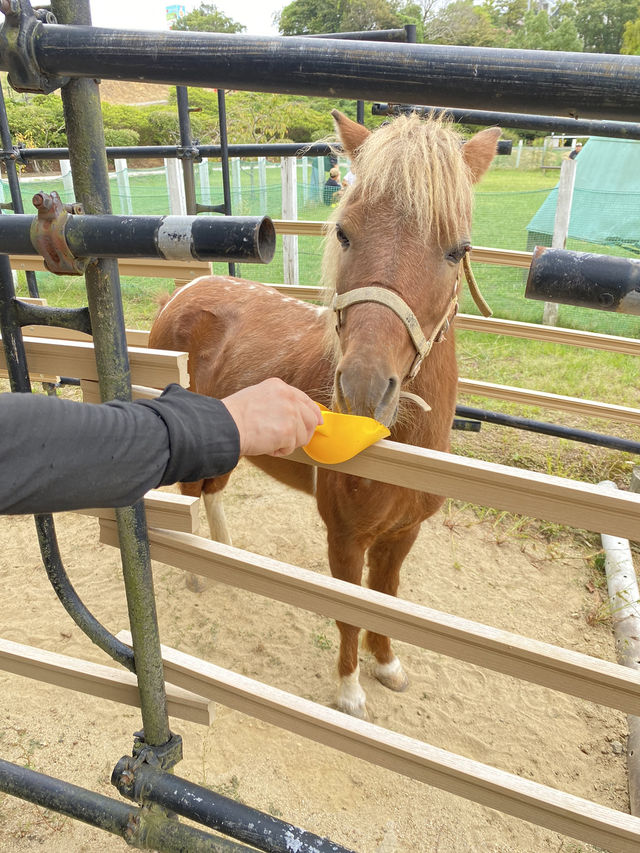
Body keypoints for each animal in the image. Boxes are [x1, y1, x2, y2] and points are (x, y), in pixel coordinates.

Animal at [150, 110, 500, 716]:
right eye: (344, 232)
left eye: (458, 250)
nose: (362, 390)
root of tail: (187, 288)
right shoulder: (345, 538)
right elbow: (349, 612)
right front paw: (350, 693)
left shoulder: (402, 536)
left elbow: (385, 598)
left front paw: (387, 666)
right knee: (193, 493)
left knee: (214, 491)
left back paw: (224, 554)